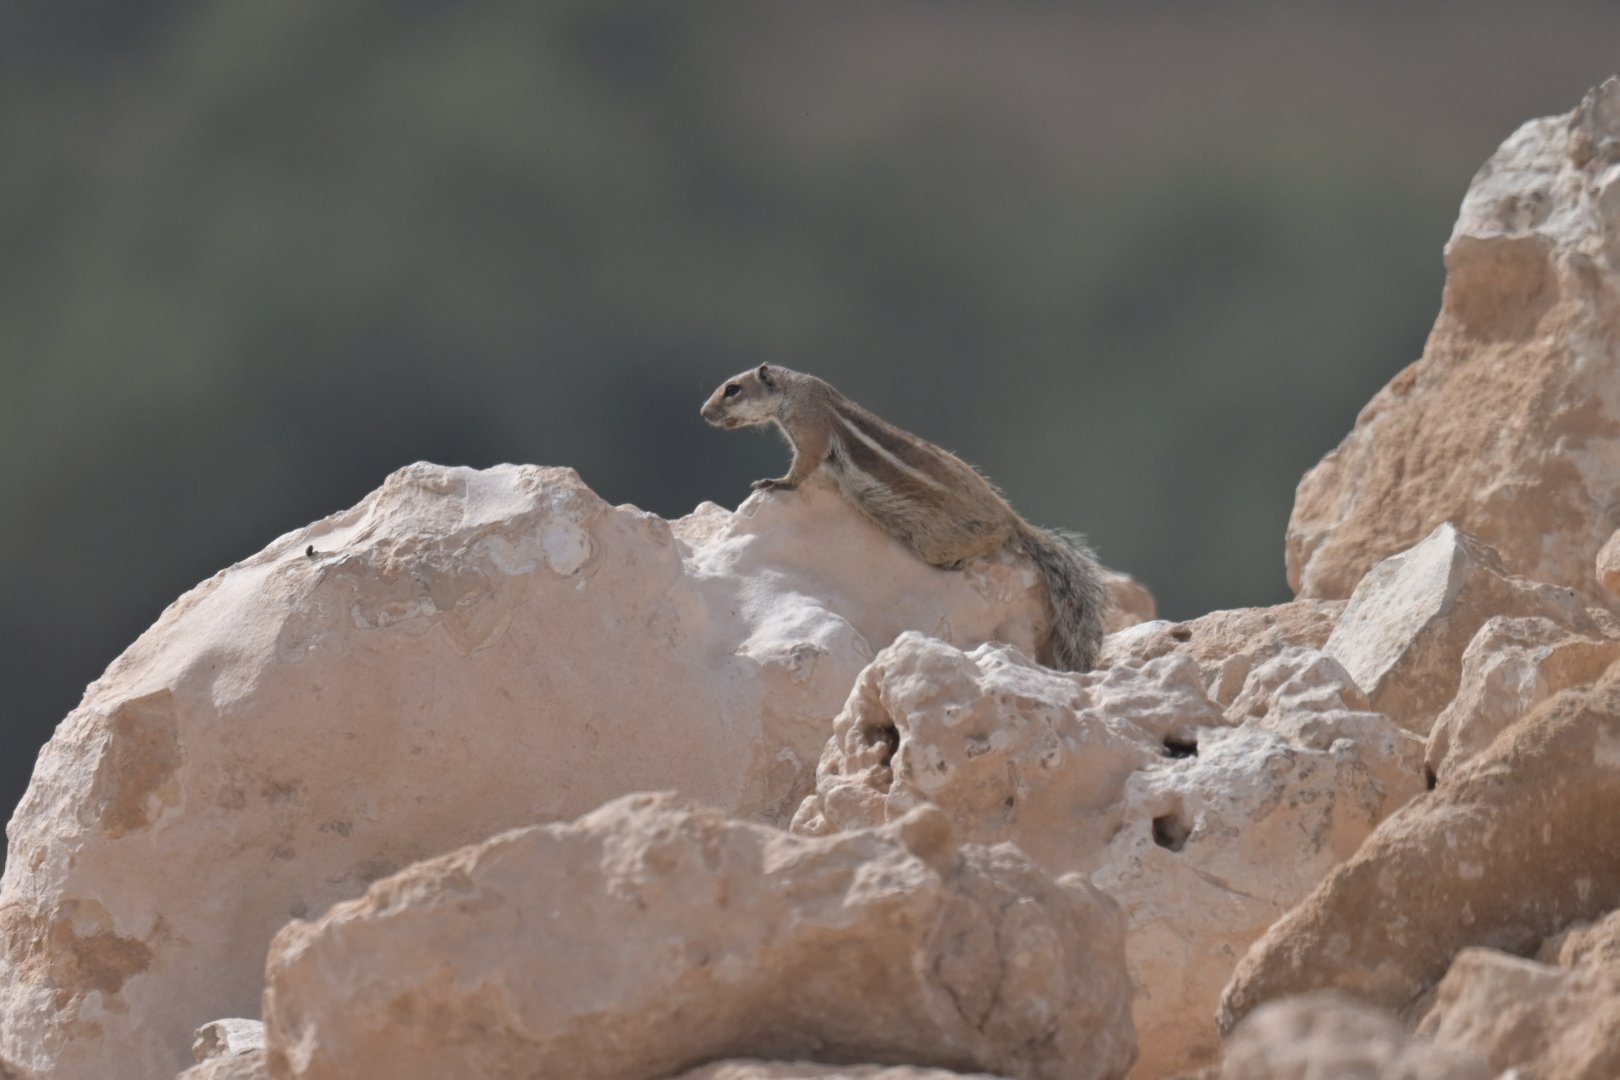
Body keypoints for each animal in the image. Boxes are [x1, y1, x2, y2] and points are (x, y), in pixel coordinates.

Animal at [700, 363, 1106, 672]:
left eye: (732, 389)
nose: (703, 413)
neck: (797, 390)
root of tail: (1010, 518)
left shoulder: (811, 430)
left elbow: (801, 469)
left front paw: (776, 482)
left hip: (935, 541)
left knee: (984, 542)